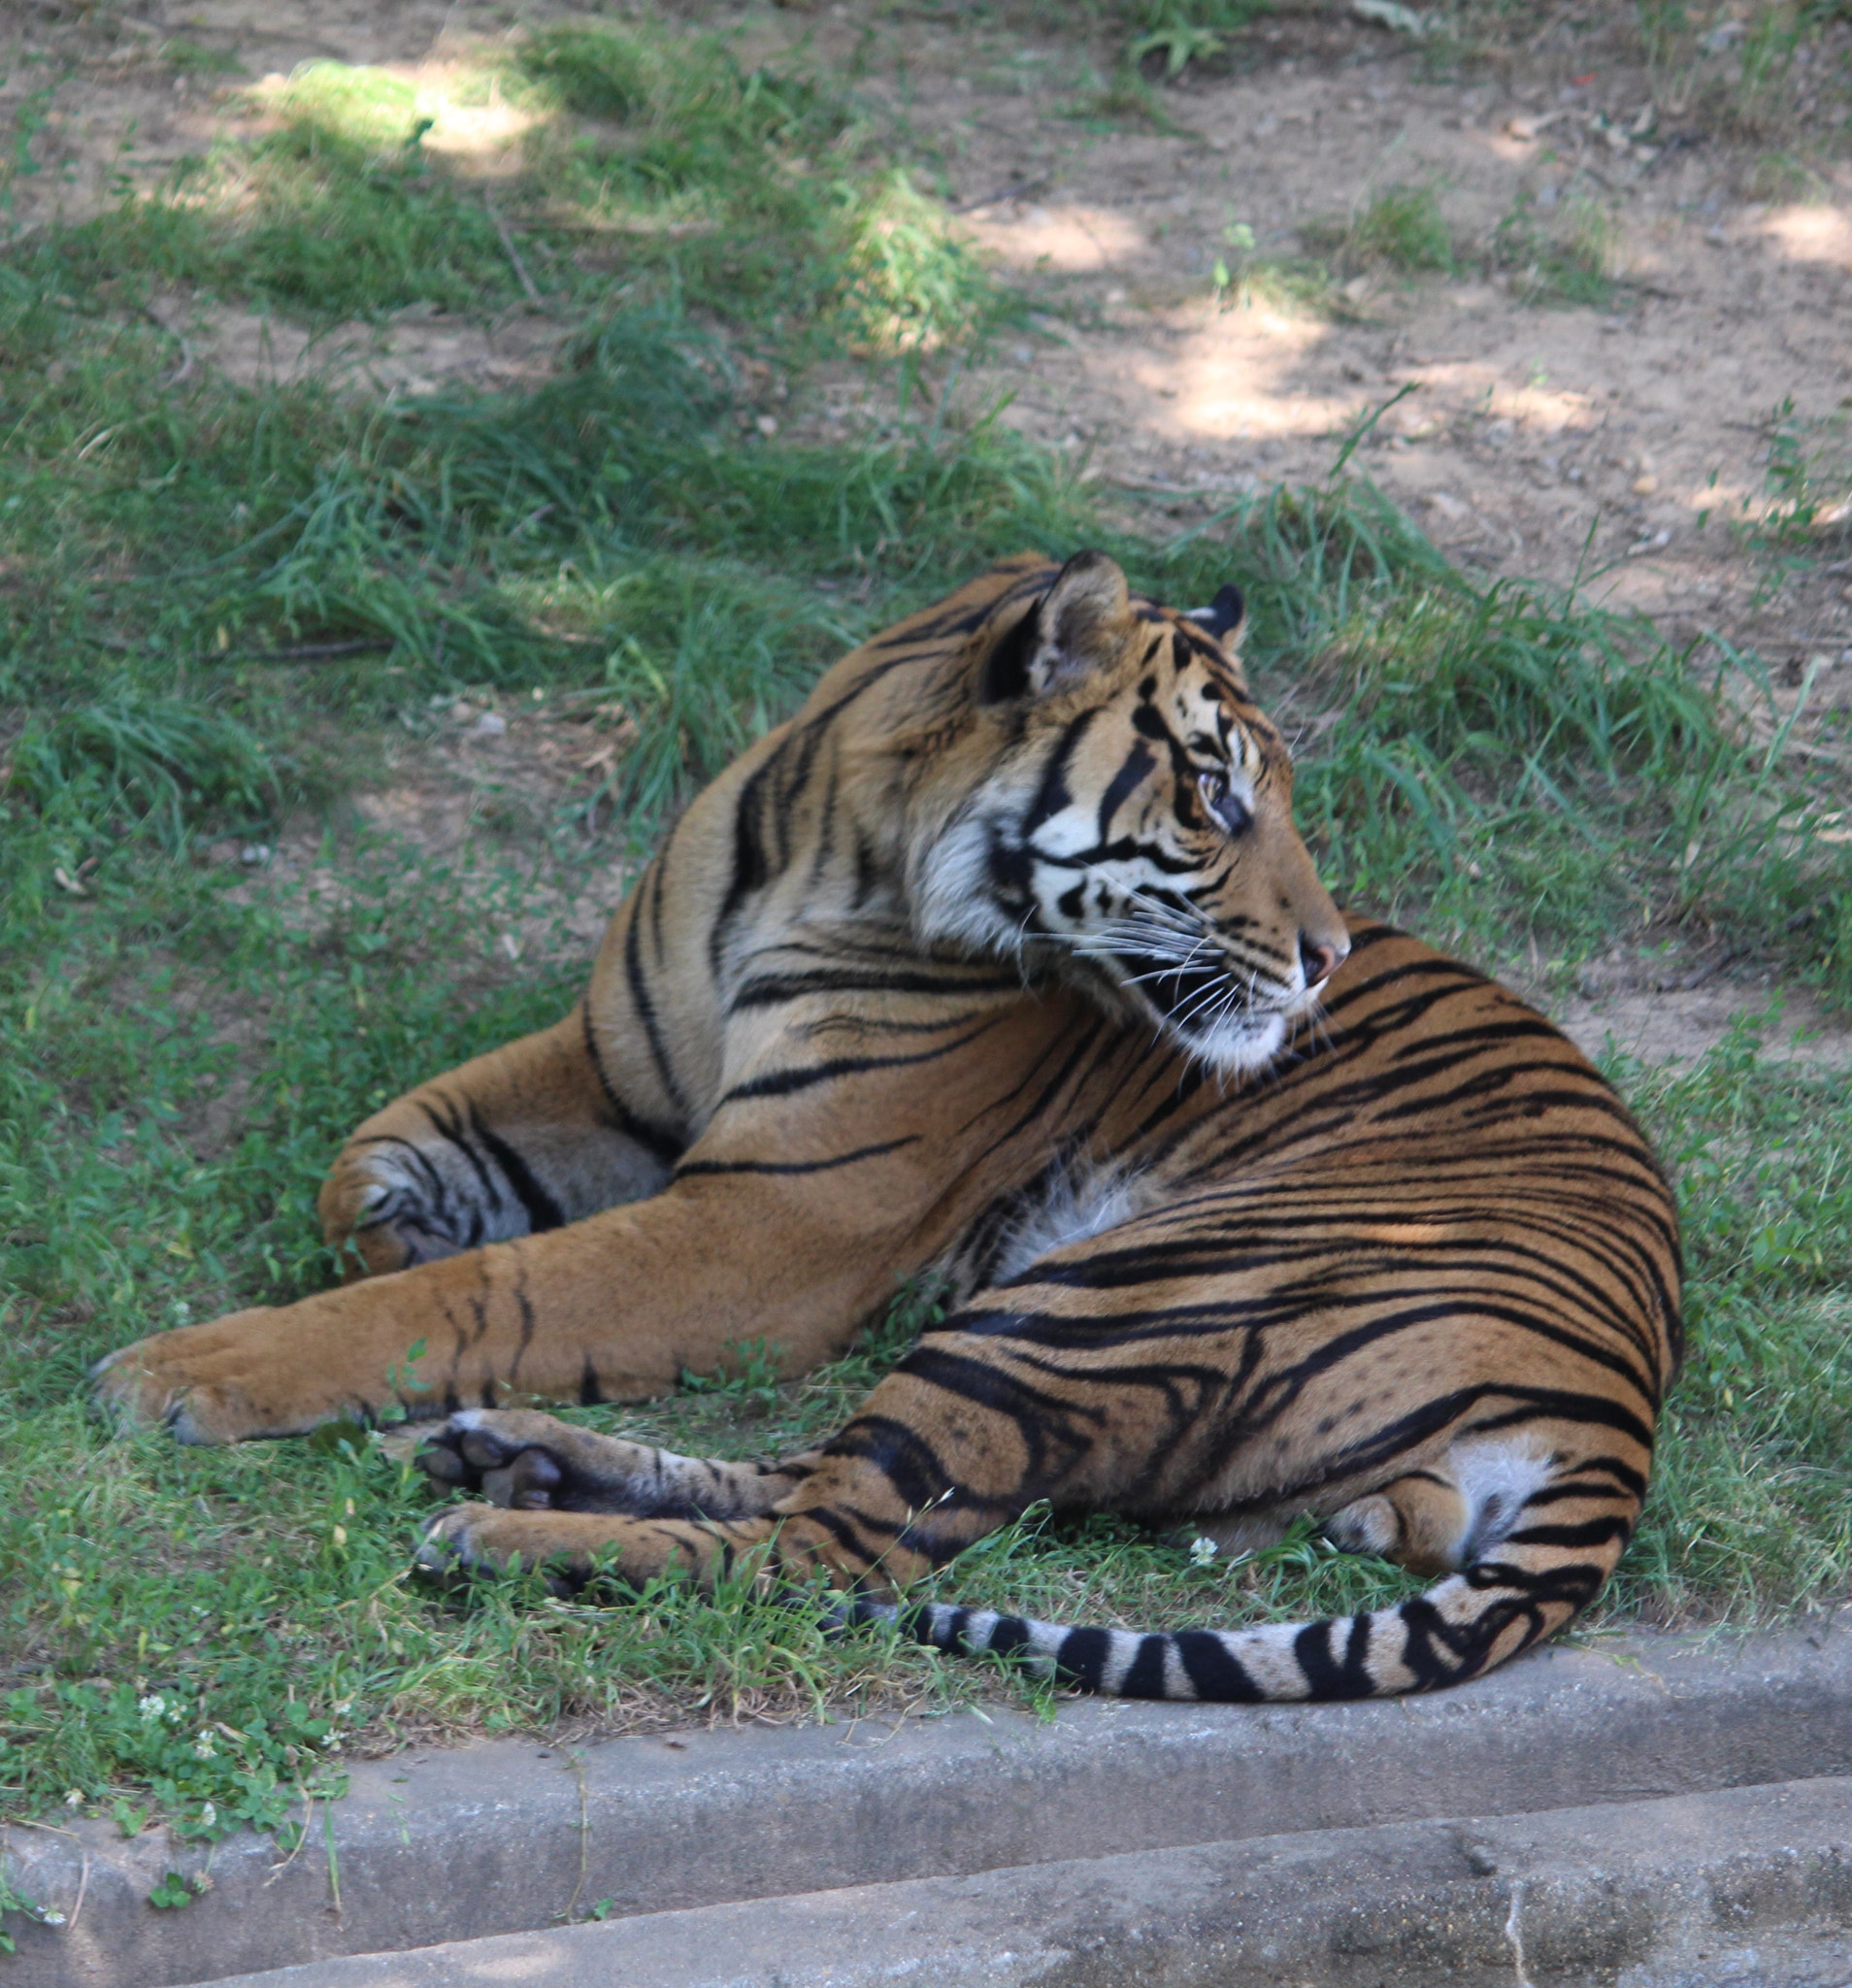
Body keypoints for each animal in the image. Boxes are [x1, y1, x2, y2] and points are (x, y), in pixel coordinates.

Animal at [95, 549, 1682, 1703]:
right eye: (1216, 796)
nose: (1328, 960)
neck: (822, 849)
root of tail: (1613, 1401)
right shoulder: (618, 1077)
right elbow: (369, 1172)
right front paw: (391, 1238)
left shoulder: (767, 1215)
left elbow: (488, 1289)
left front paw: (175, 1372)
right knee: (826, 1487)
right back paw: (505, 1454)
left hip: (1106, 1296)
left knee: (827, 1553)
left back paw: (501, 1528)